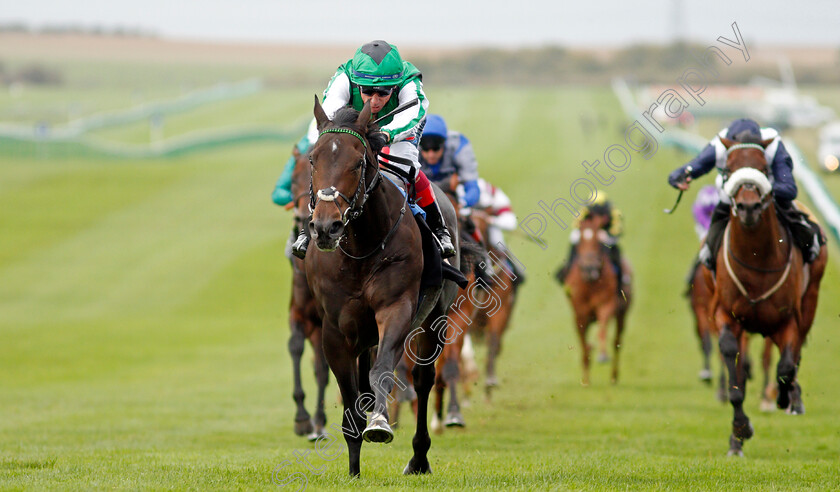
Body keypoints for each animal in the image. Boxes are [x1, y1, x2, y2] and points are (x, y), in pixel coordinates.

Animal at [304, 100, 460, 476]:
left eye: (358, 162)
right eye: (313, 159)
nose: (326, 227)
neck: (360, 248)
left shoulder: (396, 308)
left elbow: (384, 369)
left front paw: (379, 423)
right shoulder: (335, 328)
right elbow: (349, 398)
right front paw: (353, 471)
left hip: (436, 317)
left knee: (422, 379)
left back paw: (419, 459)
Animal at [560, 214, 632, 384]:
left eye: (597, 242)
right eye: (580, 241)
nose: (589, 267)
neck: (591, 283)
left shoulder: (606, 305)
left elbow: (602, 330)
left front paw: (602, 355)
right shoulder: (579, 314)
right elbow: (584, 344)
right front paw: (585, 378)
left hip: (622, 314)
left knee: (617, 342)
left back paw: (614, 376)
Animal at [712, 136, 832, 456]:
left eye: (764, 168)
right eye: (728, 169)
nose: (748, 207)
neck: (756, 259)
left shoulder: (787, 319)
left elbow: (787, 366)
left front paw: (784, 397)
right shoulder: (726, 314)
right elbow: (735, 373)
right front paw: (739, 431)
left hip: (811, 299)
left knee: (796, 353)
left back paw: (792, 398)